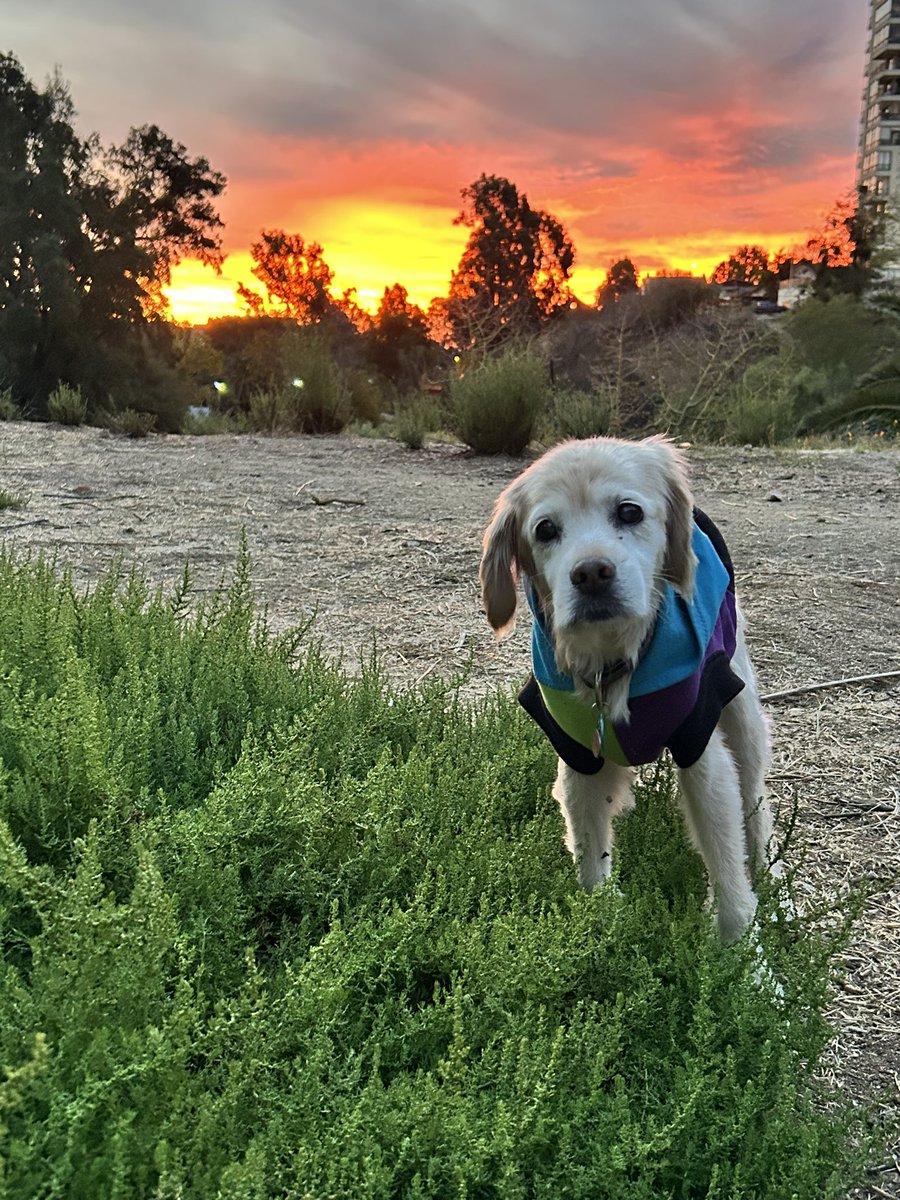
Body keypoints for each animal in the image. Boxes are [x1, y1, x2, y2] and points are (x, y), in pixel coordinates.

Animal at [480, 436, 782, 940]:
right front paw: (601, 920)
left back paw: (778, 889)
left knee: (756, 806)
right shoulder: (578, 756)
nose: (590, 573)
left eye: (628, 512)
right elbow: (590, 855)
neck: (612, 665)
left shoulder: (700, 744)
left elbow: (727, 866)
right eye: (545, 529)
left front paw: (741, 949)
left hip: (741, 713)